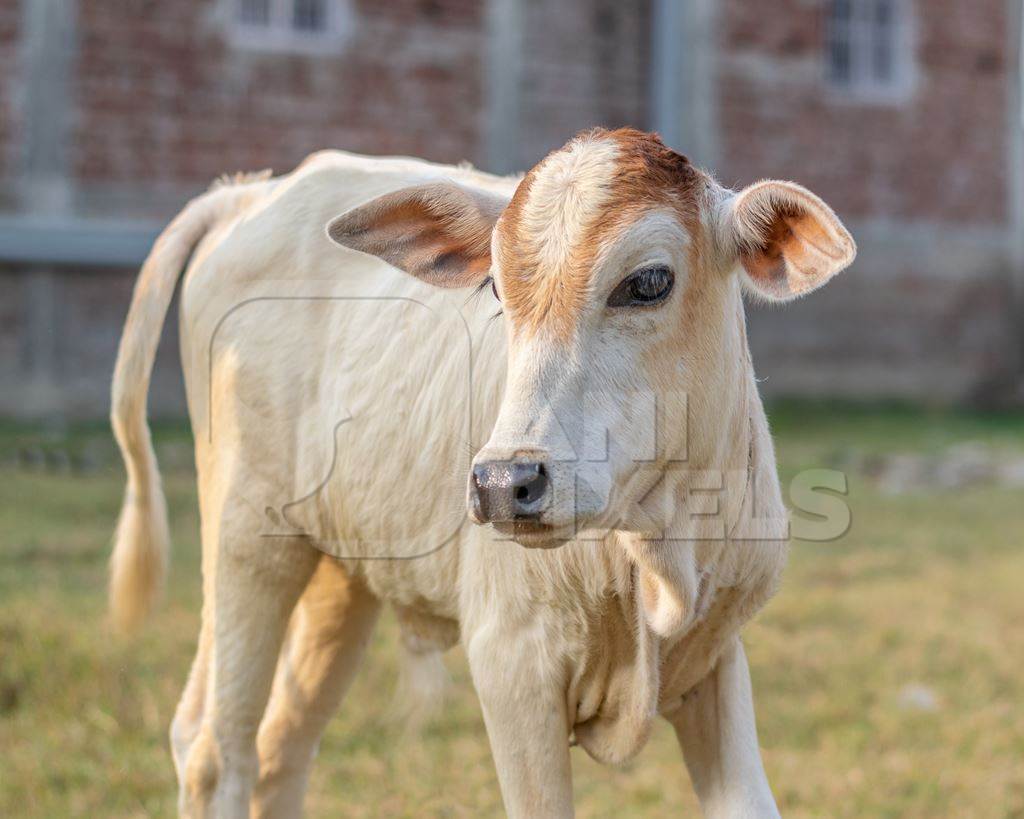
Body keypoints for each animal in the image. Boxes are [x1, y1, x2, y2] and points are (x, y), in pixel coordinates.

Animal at [108, 129, 851, 818]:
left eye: (649, 282)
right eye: (496, 285)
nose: (504, 483)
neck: (661, 555)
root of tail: (250, 194)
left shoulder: (718, 658)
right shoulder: (512, 663)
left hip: (337, 575)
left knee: (278, 747)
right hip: (246, 538)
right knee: (217, 750)